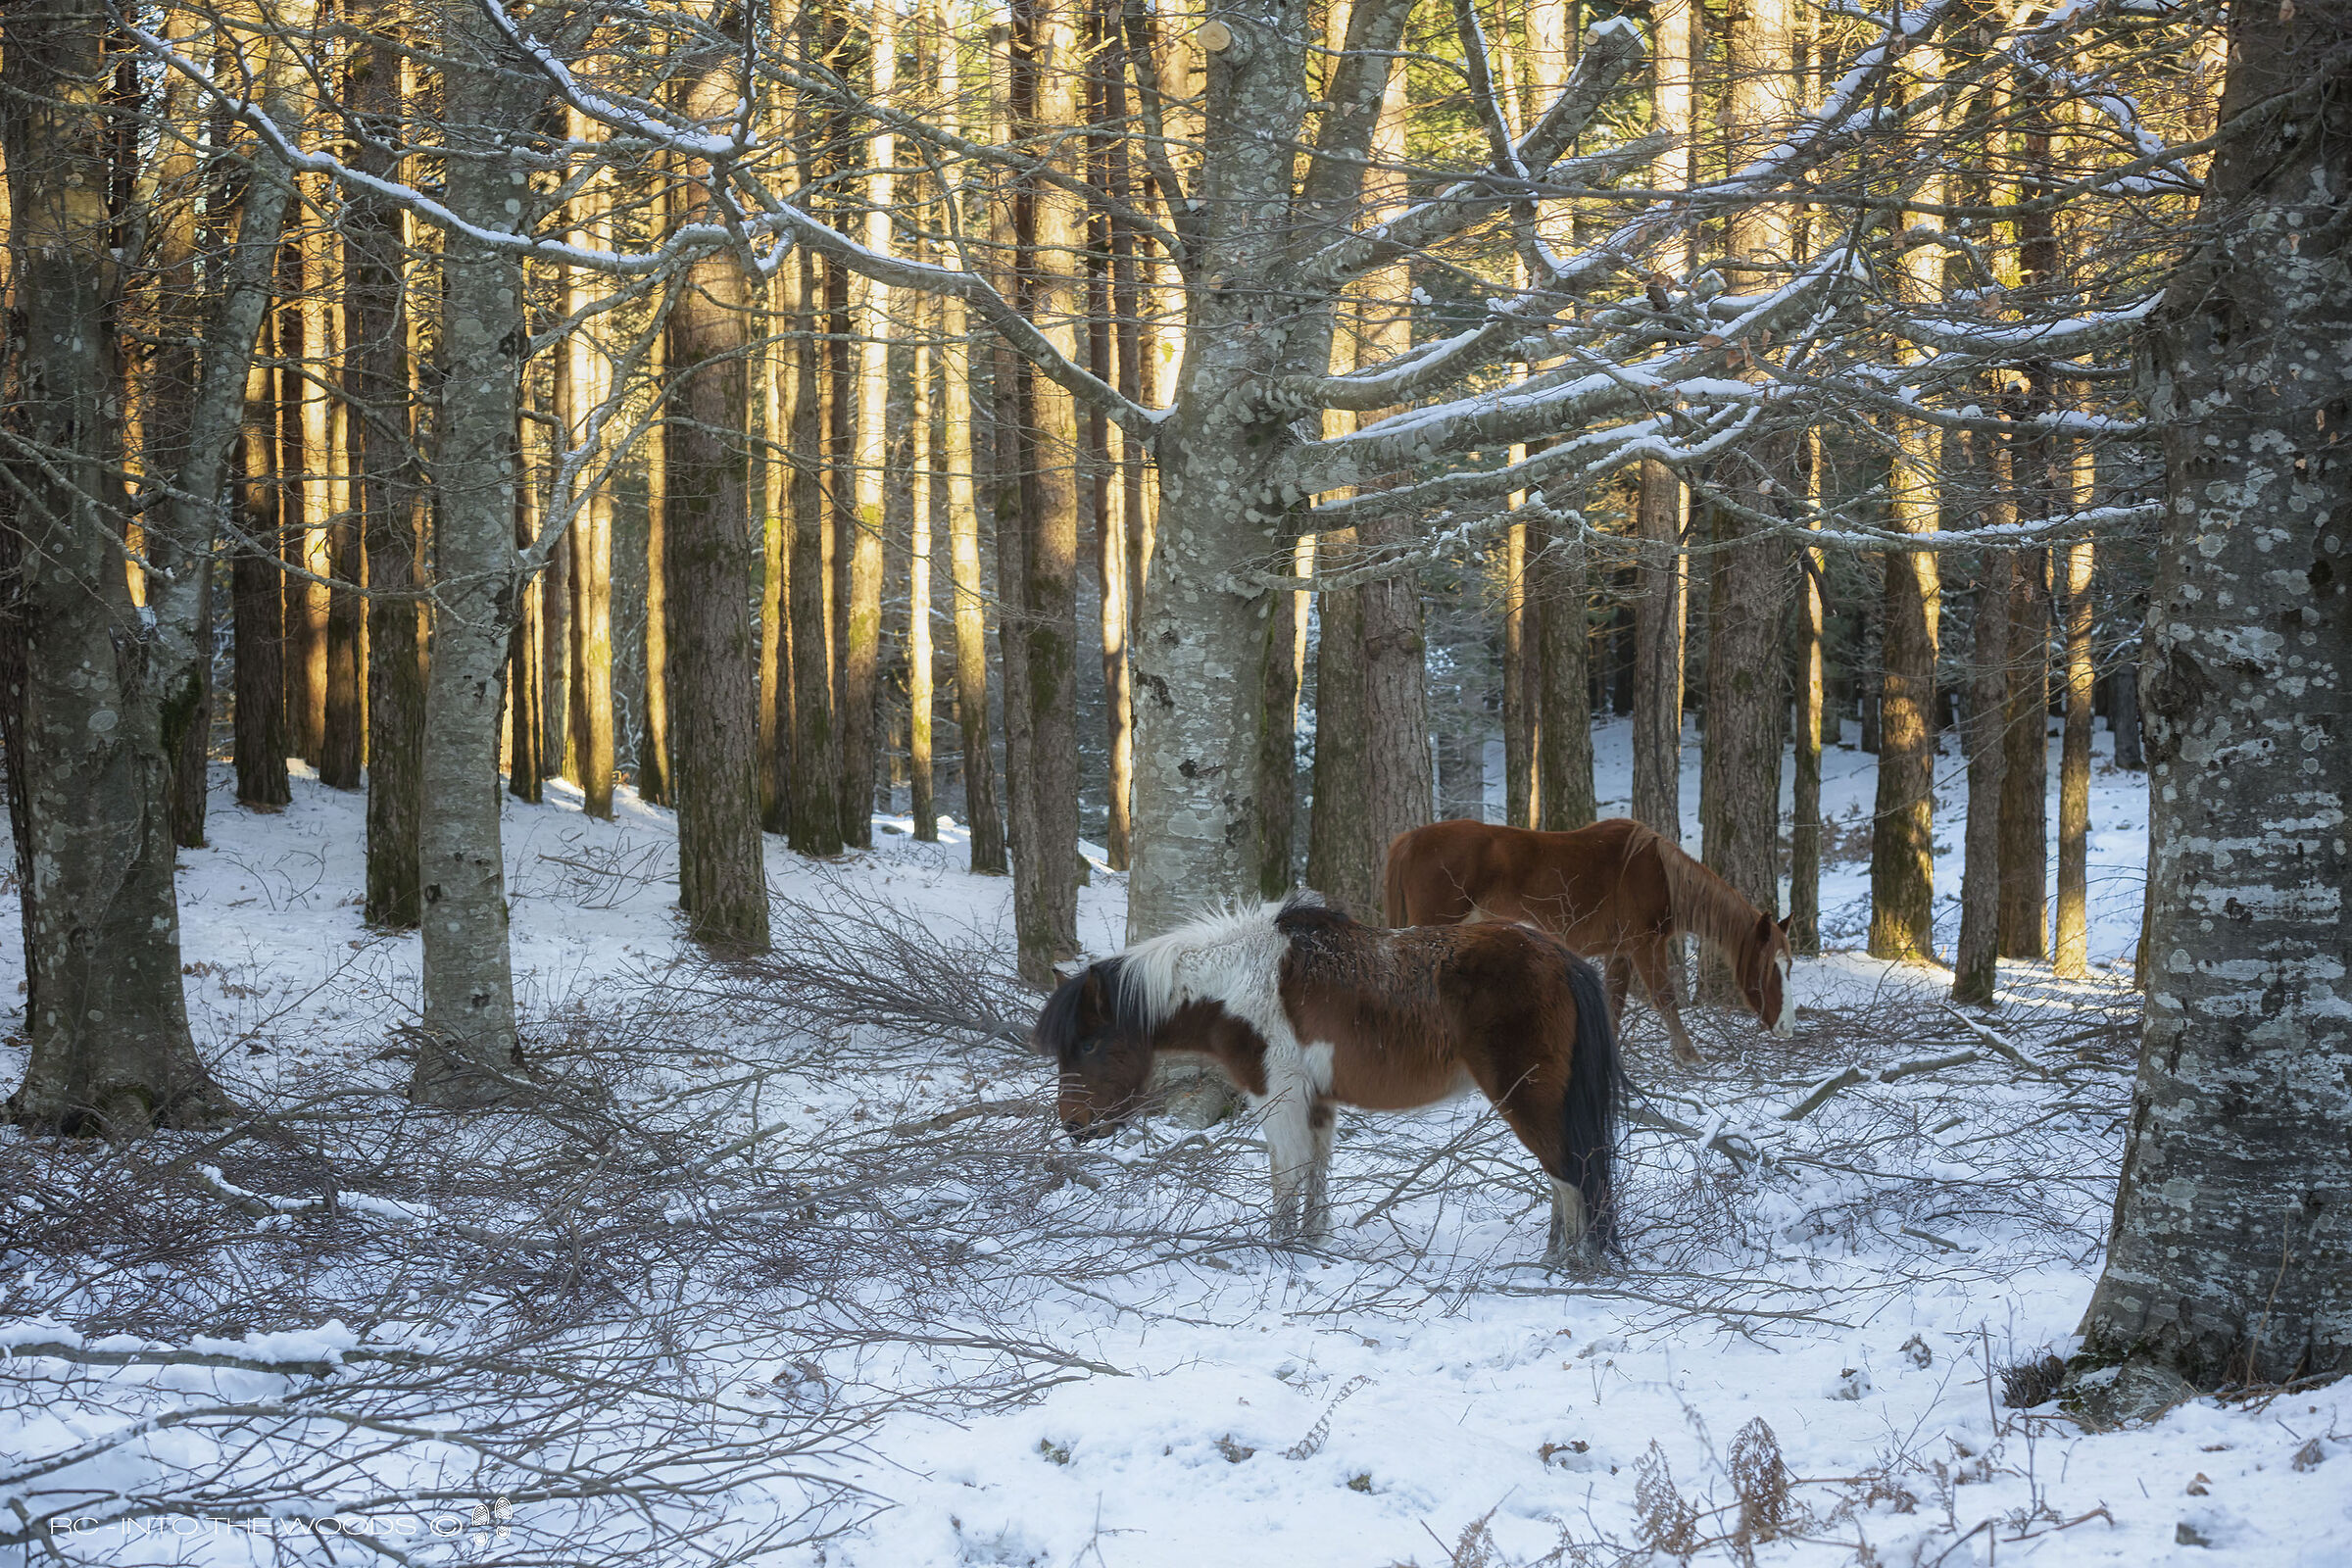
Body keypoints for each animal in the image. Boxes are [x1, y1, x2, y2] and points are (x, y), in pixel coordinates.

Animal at [1030, 893, 1624, 1265]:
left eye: (1088, 1044)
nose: (1073, 1125)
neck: (1236, 984)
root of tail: (1561, 958)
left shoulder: (1276, 1092)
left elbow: (1285, 1173)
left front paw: (1279, 1250)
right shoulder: (1315, 1100)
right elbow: (1314, 1171)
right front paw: (1313, 1245)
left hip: (1526, 1095)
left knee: (1567, 1173)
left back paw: (1567, 1265)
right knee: (1562, 1174)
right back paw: (1553, 1256)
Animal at [1383, 817, 1795, 1066]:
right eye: (1770, 968)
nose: (1788, 1027)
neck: (1659, 874)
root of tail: (1410, 839)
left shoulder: (1620, 952)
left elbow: (1614, 1003)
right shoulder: (1645, 945)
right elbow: (1665, 997)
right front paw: (1689, 1056)